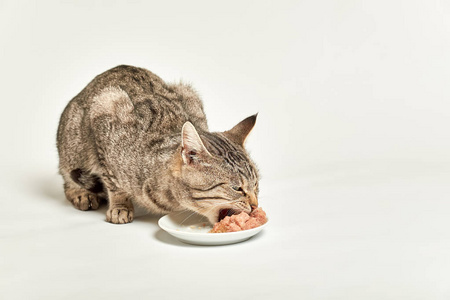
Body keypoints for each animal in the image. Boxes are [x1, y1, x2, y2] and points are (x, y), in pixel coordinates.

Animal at [56, 65, 260, 225]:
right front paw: (120, 206)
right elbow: (113, 182)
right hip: (73, 144)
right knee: (67, 176)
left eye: (256, 184)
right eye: (236, 188)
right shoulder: (105, 109)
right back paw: (82, 193)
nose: (255, 205)